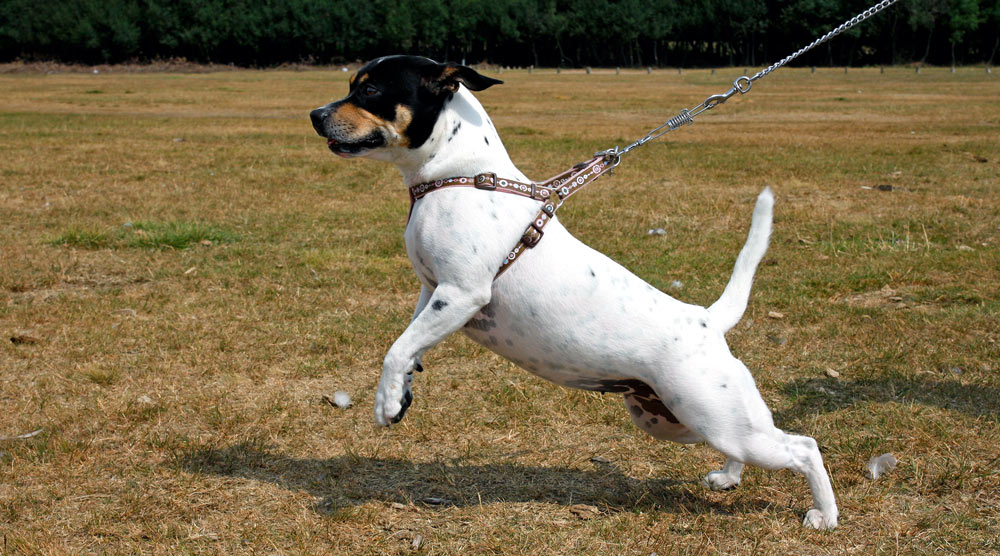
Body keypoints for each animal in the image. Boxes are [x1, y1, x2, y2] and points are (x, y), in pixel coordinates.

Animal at [308, 56, 840, 528]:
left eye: (370, 90)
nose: (314, 115)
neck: (459, 175)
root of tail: (707, 319)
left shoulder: (461, 293)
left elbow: (396, 349)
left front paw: (385, 403)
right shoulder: (431, 290)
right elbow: (410, 342)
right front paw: (403, 392)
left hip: (713, 414)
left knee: (804, 447)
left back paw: (824, 516)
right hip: (683, 421)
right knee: (749, 445)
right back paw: (728, 478)